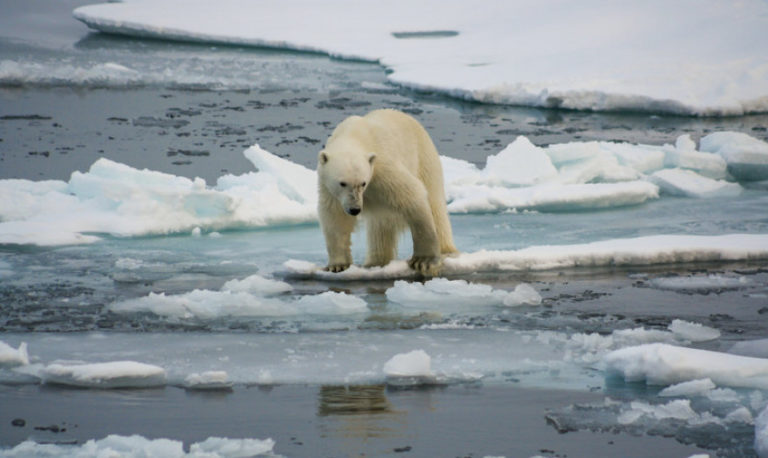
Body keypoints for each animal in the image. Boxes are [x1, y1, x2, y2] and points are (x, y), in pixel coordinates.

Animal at [316, 109, 456, 278]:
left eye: (363, 183)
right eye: (342, 183)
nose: (355, 209)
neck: (354, 135)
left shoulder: (382, 167)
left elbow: (412, 196)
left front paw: (424, 260)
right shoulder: (328, 187)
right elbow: (335, 217)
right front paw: (338, 265)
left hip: (425, 159)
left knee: (435, 206)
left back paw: (447, 251)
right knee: (380, 226)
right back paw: (375, 262)